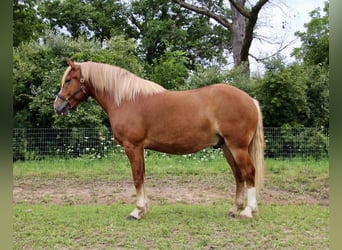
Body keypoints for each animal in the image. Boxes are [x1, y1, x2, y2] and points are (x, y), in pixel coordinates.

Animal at [54, 59, 266, 220]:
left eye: (68, 80)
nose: (57, 106)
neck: (126, 100)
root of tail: (250, 100)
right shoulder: (139, 149)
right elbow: (142, 176)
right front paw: (144, 209)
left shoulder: (133, 147)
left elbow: (137, 177)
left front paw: (137, 211)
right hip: (227, 147)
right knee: (238, 175)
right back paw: (235, 209)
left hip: (237, 147)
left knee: (248, 173)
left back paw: (248, 211)